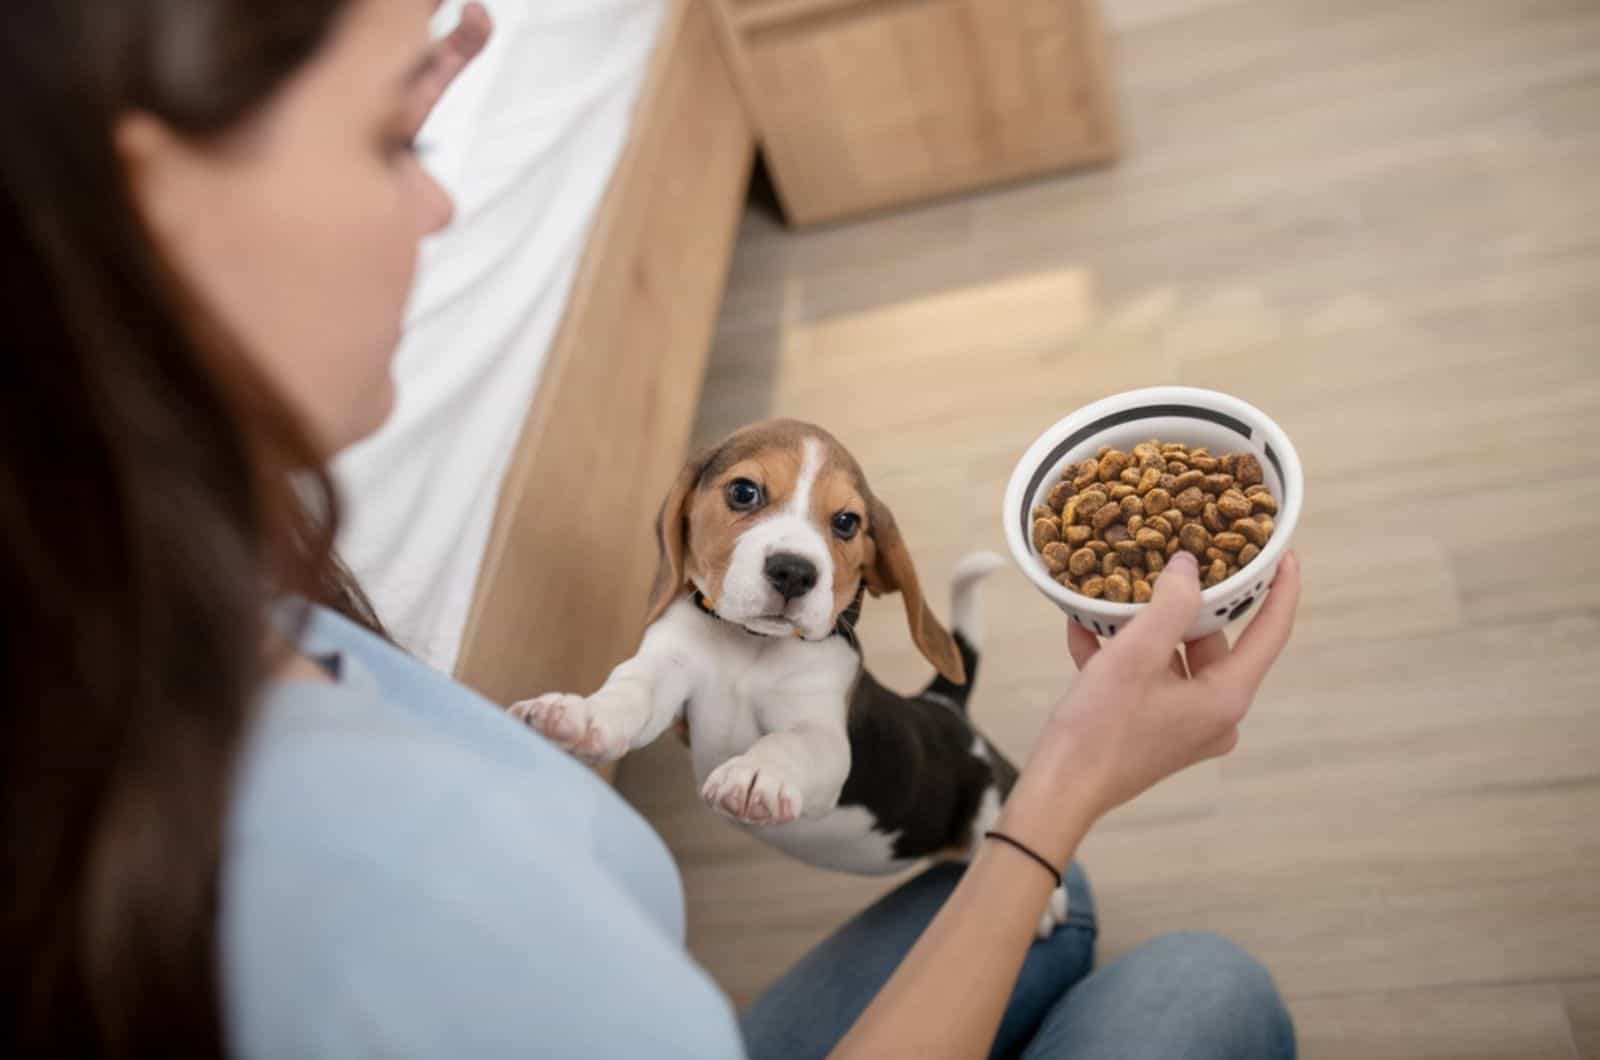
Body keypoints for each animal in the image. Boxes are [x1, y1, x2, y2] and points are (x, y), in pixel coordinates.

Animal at [512, 419, 1062, 935]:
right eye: (743, 492)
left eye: (846, 522)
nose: (795, 572)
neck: (751, 648)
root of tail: (945, 705)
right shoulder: (668, 668)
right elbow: (631, 692)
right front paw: (580, 716)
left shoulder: (826, 736)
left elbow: (792, 742)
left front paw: (758, 774)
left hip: (992, 799)